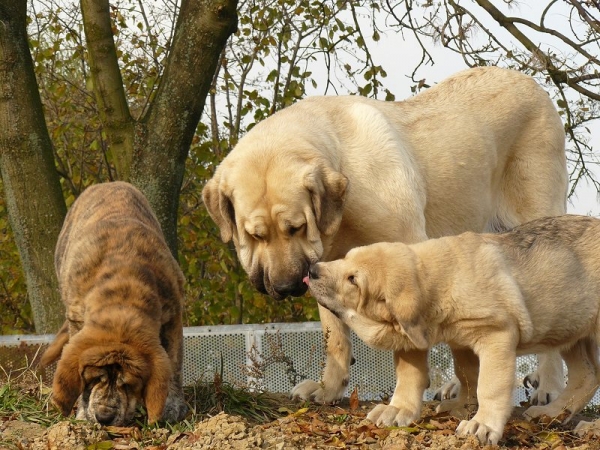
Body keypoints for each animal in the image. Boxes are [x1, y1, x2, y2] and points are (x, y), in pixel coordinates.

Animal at [39, 180, 188, 426]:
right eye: (92, 379)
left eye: (128, 384)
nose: (104, 417)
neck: (123, 290)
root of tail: (108, 184)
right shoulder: (76, 319)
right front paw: (83, 413)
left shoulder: (173, 316)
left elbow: (174, 364)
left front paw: (171, 406)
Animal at [203, 66, 568, 404]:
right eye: (255, 235)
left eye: (296, 227)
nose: (287, 287)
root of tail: (531, 83)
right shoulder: (323, 269)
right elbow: (334, 336)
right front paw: (329, 389)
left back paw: (548, 386)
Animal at [308, 215, 600, 446]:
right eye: (346, 258)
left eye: (353, 280)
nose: (311, 270)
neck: (437, 280)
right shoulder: (456, 342)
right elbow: (459, 375)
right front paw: (404, 409)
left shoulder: (497, 335)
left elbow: (489, 386)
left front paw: (482, 424)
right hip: (569, 327)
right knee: (586, 376)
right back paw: (553, 413)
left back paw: (590, 426)